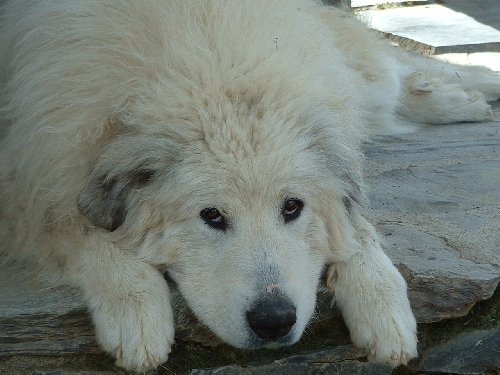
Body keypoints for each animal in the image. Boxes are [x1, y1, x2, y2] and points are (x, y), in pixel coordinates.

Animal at [0, 0, 498, 374]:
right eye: (212, 215)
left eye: (292, 207)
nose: (274, 321)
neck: (214, 61)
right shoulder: (33, 177)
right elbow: (83, 231)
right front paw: (137, 313)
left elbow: (356, 229)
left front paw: (383, 304)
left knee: (392, 71)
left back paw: (465, 93)